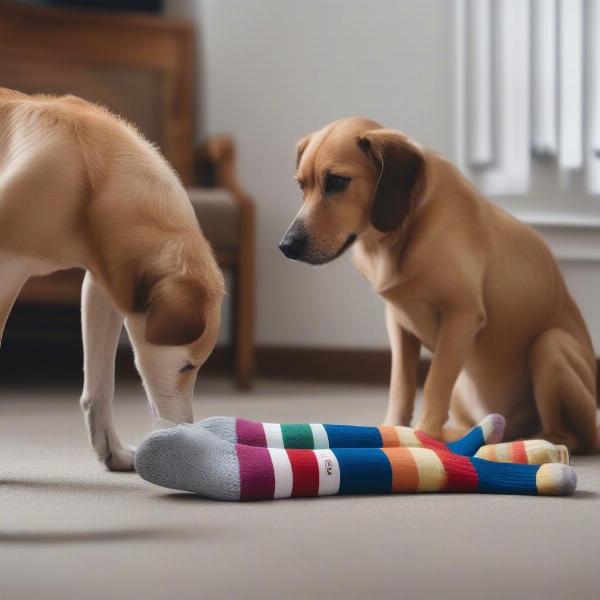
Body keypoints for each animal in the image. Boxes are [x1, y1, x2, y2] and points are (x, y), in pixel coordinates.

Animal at [0, 88, 225, 468]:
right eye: (187, 367)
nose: (187, 430)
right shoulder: (8, 268)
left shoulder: (104, 283)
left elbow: (100, 385)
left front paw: (111, 450)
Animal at [282, 118, 600, 454]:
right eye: (301, 186)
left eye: (337, 182)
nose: (285, 246)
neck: (399, 235)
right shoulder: (398, 324)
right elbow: (401, 386)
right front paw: (394, 431)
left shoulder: (460, 316)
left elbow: (434, 384)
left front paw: (423, 437)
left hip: (550, 345)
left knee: (571, 437)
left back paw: (525, 442)